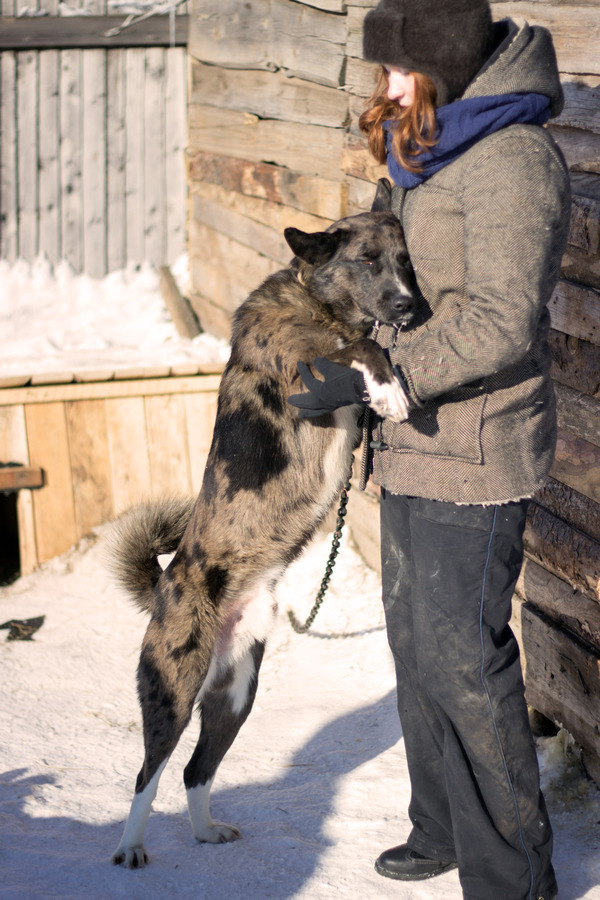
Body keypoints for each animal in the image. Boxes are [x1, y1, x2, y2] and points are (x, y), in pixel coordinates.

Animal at [110, 181, 414, 864]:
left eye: (404, 259)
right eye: (367, 261)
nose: (411, 305)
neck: (317, 304)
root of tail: (166, 583)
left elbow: (368, 349)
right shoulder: (312, 366)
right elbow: (364, 349)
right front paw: (389, 387)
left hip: (236, 694)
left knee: (196, 771)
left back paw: (203, 831)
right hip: (174, 689)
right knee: (148, 774)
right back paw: (130, 848)